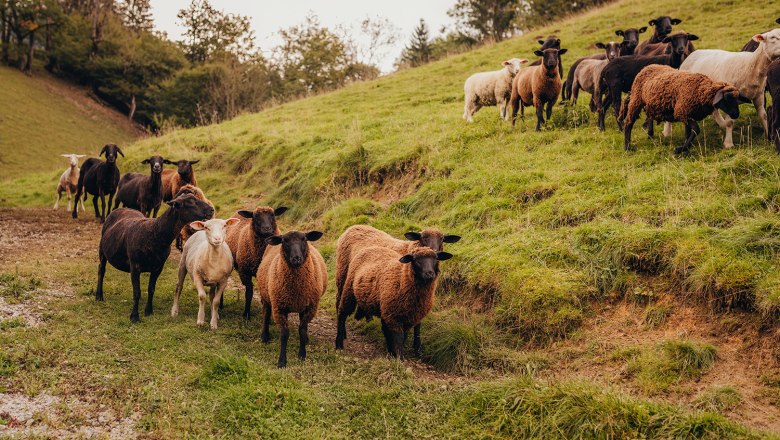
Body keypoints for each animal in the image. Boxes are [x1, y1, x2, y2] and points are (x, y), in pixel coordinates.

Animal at [96, 192, 215, 324]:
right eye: (190, 202)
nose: (211, 210)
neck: (155, 233)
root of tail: (121, 209)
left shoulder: (158, 267)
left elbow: (151, 289)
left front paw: (149, 311)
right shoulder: (135, 265)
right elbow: (137, 292)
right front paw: (134, 316)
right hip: (102, 250)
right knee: (101, 270)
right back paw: (99, 295)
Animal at [256, 230, 326, 368]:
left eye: (304, 239)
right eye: (284, 241)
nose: (296, 258)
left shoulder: (309, 307)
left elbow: (302, 330)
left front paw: (302, 355)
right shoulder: (280, 307)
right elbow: (284, 334)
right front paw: (282, 361)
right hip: (267, 296)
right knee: (266, 314)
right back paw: (264, 336)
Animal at [332, 225, 460, 356]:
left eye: (442, 239)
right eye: (423, 238)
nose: (434, 250)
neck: (408, 248)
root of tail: (354, 226)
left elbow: (416, 325)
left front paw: (417, 348)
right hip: (342, 274)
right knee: (339, 303)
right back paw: (342, 336)